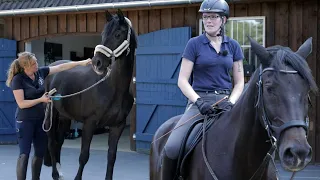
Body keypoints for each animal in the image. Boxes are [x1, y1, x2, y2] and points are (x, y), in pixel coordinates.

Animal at [42, 9, 136, 180]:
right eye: (103, 33)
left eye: (118, 34)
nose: (97, 62)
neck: (112, 88)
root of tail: (50, 68)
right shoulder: (89, 124)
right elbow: (84, 156)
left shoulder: (117, 126)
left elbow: (112, 157)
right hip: (51, 116)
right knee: (52, 143)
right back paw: (55, 174)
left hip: (65, 118)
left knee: (59, 142)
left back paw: (59, 171)